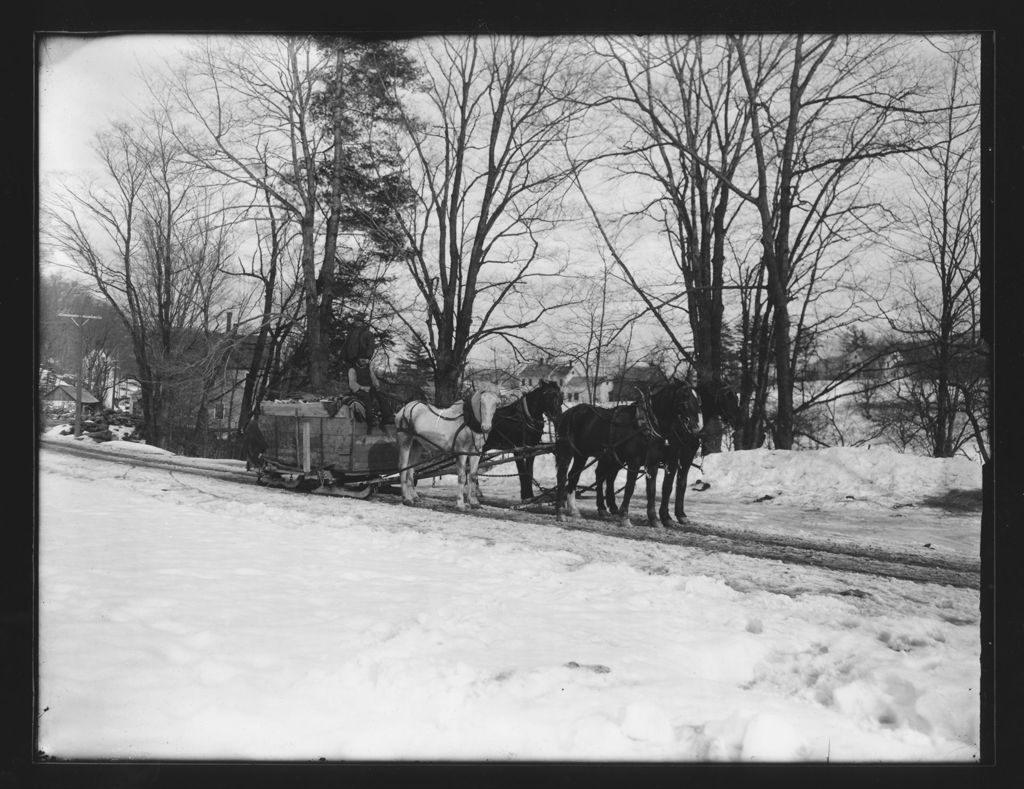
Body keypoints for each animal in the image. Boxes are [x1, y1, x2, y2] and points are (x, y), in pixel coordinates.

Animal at [552, 378, 704, 528]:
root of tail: (568, 413)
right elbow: (630, 487)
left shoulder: (655, 462)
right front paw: (625, 517)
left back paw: (575, 509)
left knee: (576, 475)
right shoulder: (635, 461)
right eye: (684, 399)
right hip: (567, 452)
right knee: (562, 477)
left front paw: (655, 519)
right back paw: (560, 511)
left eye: (698, 403)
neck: (647, 425)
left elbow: (654, 490)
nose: (696, 431)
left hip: (584, 455)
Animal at [598, 378, 741, 523]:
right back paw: (604, 508)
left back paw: (612, 507)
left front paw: (674, 515)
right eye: (727, 396)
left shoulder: (679, 459)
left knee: (608, 477)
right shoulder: (676, 457)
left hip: (617, 458)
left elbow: (676, 485)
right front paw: (669, 515)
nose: (739, 421)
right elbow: (668, 486)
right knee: (601, 475)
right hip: (609, 456)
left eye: (736, 397)